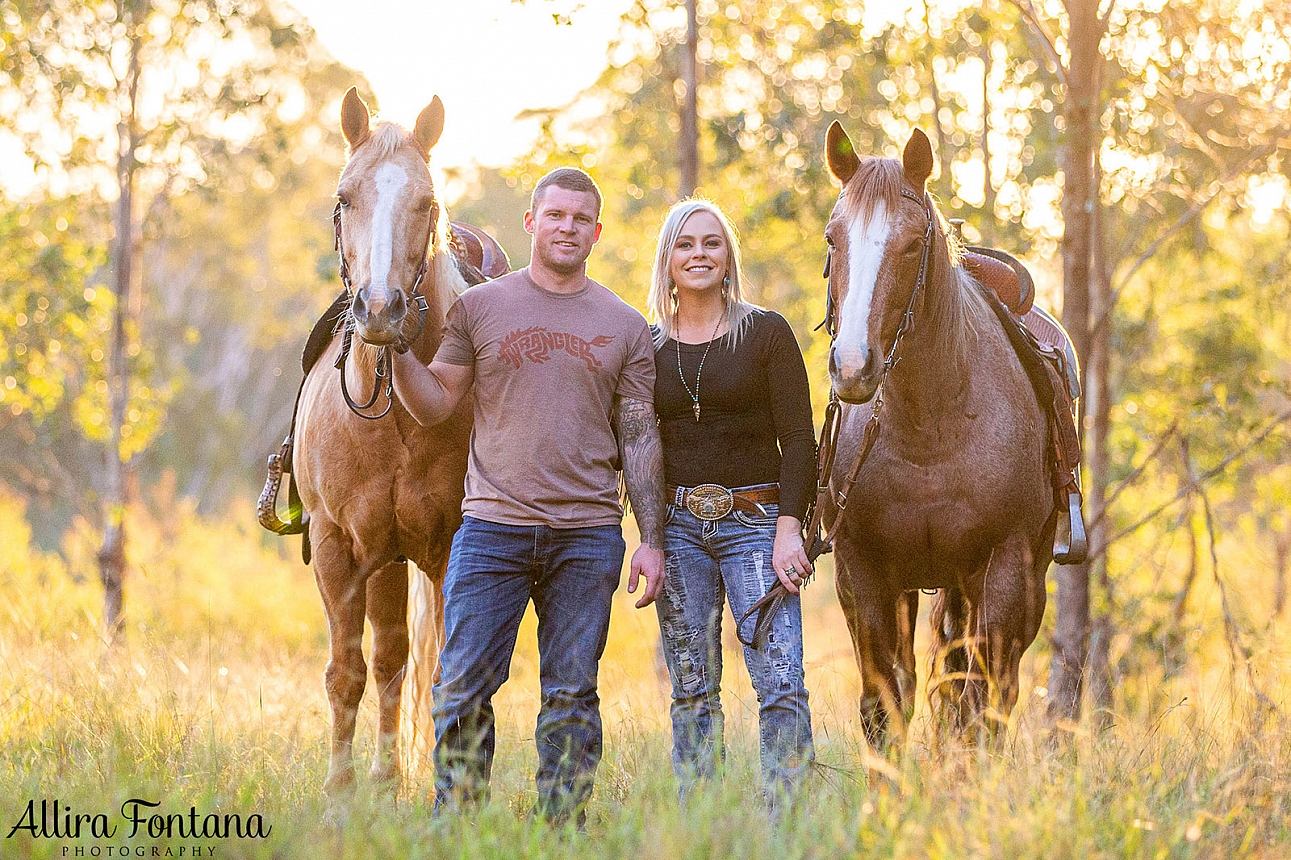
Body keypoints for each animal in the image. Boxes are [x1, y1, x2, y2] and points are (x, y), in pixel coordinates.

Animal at [290, 88, 477, 795]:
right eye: (346, 198)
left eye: (425, 201)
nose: (379, 311)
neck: (395, 418)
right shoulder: (338, 547)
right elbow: (347, 673)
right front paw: (340, 795)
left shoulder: (452, 548)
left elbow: (451, 672)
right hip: (386, 560)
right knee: (391, 656)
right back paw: (382, 778)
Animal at [821, 123, 1053, 748]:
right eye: (833, 239)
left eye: (910, 244)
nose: (853, 367)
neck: (929, 431)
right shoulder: (864, 575)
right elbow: (883, 708)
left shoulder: (1002, 575)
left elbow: (979, 710)